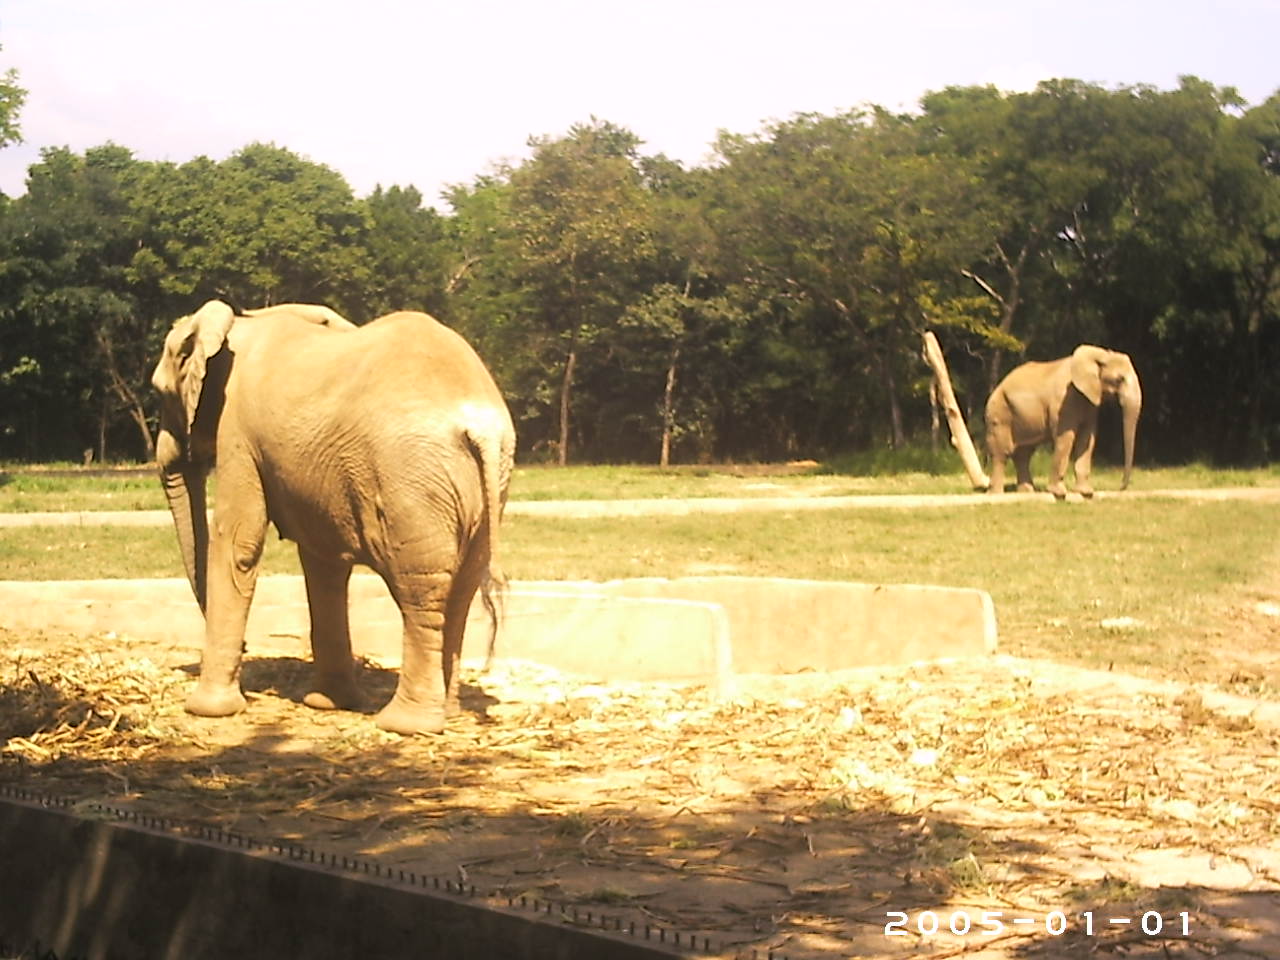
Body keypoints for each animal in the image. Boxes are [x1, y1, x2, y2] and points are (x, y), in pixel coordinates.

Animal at [151, 300, 516, 735]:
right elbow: (322, 561)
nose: (248, 647)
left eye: (158, 392)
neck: (236, 325)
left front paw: (207, 710)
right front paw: (327, 703)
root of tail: (481, 422)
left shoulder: (237, 431)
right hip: (485, 488)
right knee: (460, 589)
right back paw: (447, 713)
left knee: (421, 590)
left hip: (414, 480)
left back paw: (405, 725)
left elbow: (240, 542)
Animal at [985, 345, 1141, 499]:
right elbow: (1066, 437)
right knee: (1002, 452)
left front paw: (1086, 493)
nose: (1121, 487)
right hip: (999, 414)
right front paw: (1059, 493)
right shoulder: (1063, 400)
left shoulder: (1089, 401)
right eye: (1119, 379)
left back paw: (1027, 492)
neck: (1099, 354)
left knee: (1024, 453)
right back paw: (996, 494)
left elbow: (1087, 439)